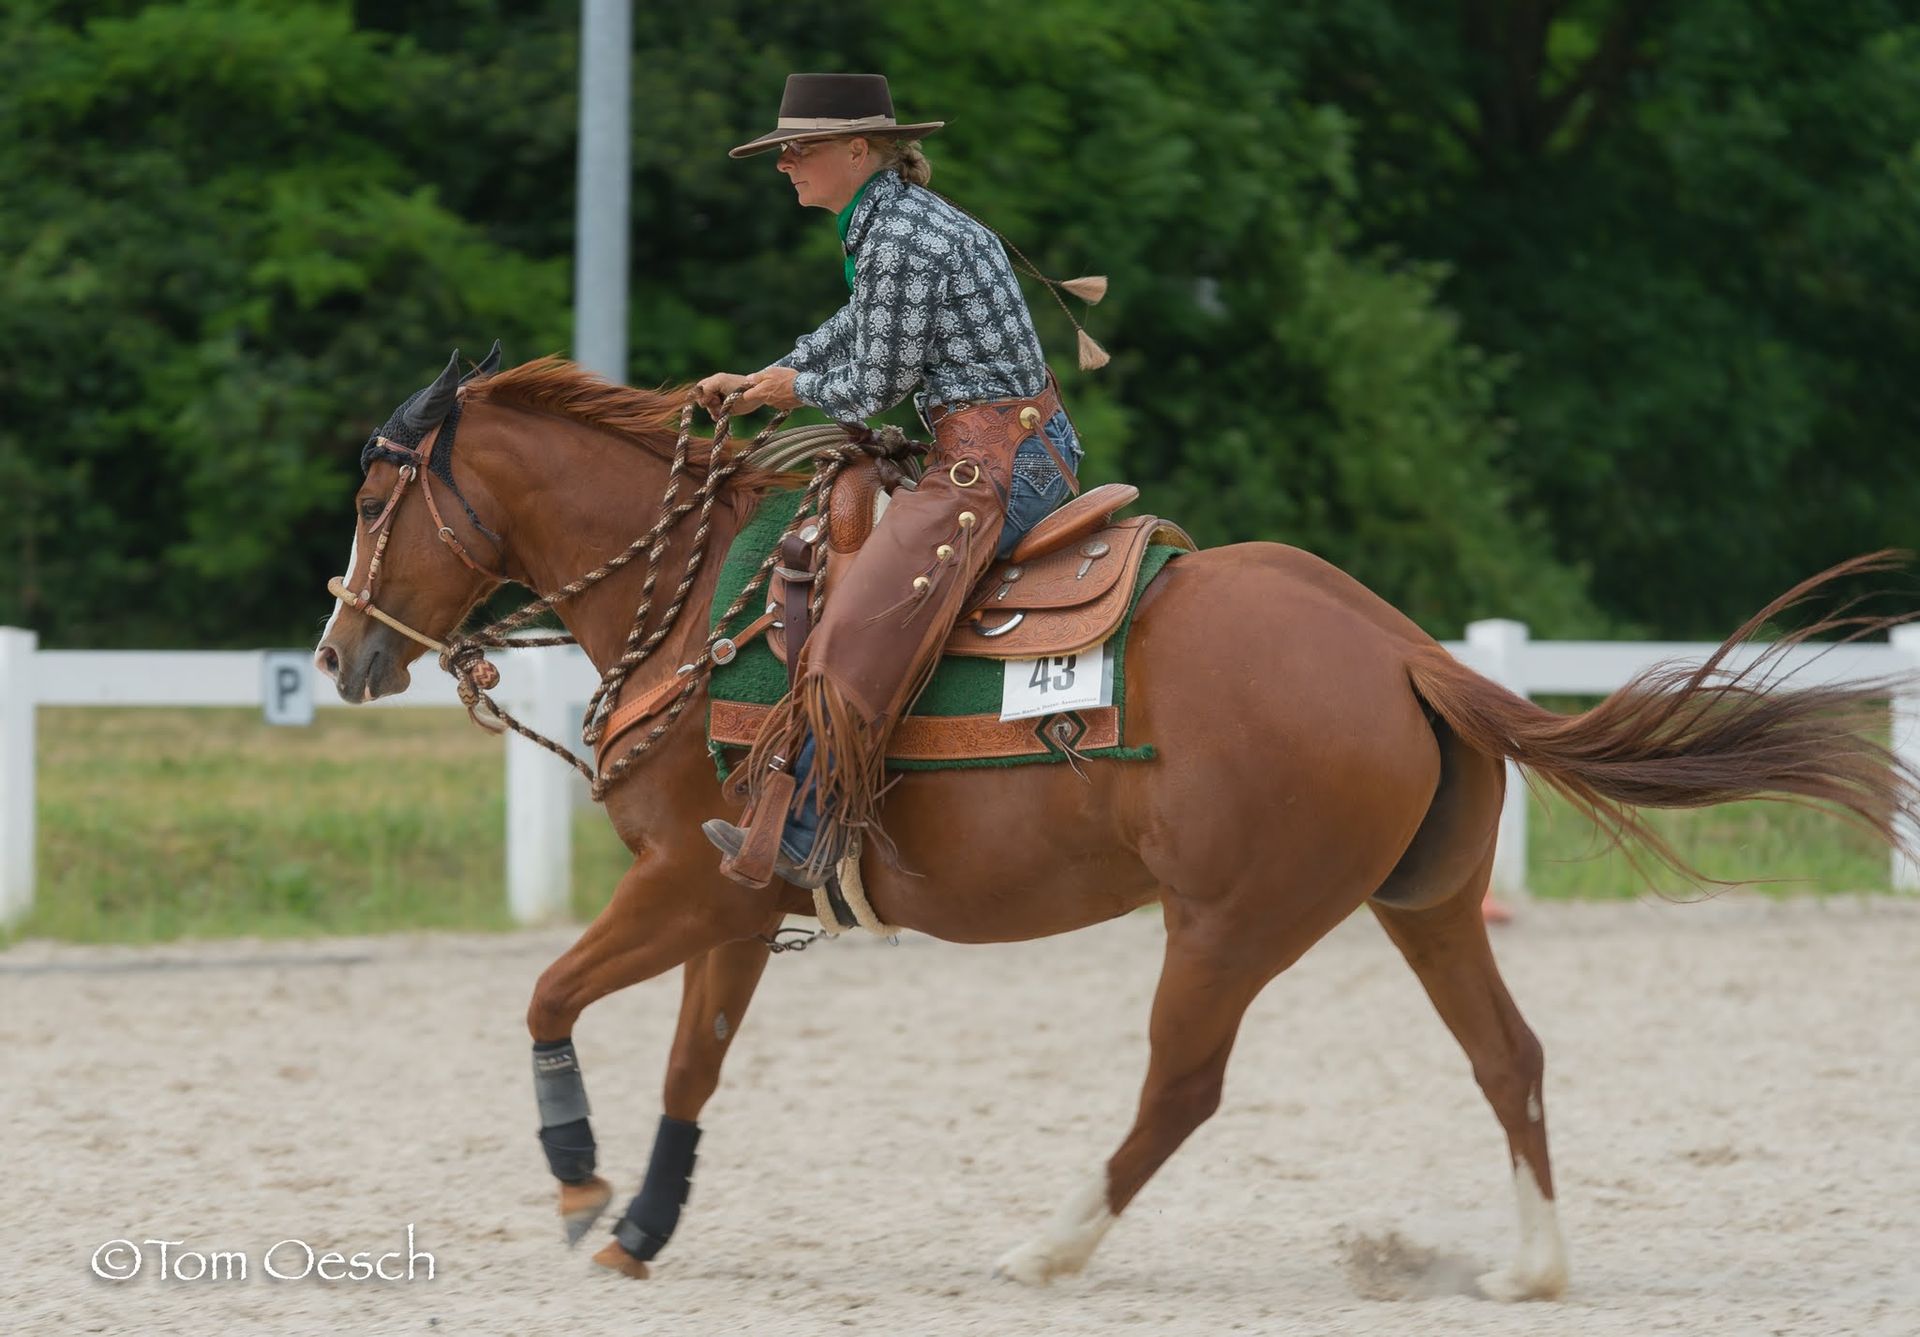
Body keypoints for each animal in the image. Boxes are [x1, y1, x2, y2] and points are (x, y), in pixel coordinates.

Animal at [314, 352, 1918, 1298]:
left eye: (379, 495)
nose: (340, 653)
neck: (714, 606)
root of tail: (1403, 647)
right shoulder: (741, 901)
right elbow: (694, 1062)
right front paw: (643, 1222)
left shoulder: (689, 885)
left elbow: (549, 993)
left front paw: (581, 1184)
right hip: (1427, 905)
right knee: (1506, 1054)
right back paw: (1530, 1268)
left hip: (1226, 925)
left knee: (1183, 1089)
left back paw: (1048, 1240)